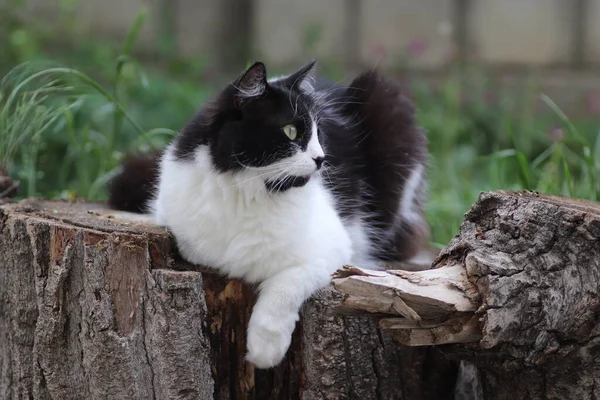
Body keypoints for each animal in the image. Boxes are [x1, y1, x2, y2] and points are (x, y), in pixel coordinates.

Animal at [106, 61, 426, 370]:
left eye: (319, 133)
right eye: (291, 132)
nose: (322, 158)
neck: (247, 193)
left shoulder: (332, 248)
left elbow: (285, 285)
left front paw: (265, 350)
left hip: (387, 100)